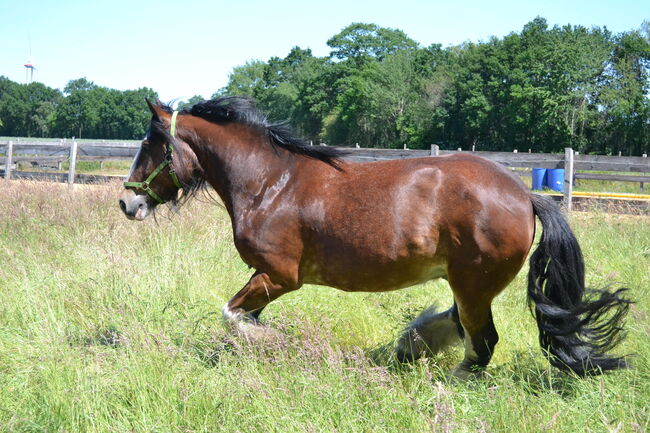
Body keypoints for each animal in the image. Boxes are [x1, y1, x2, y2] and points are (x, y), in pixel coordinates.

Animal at [117, 96, 628, 376]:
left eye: (149, 144)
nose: (127, 203)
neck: (269, 183)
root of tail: (525, 195)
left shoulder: (278, 276)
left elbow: (232, 316)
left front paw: (273, 345)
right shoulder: (266, 278)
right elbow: (240, 318)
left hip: (474, 283)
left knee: (482, 343)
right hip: (466, 283)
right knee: (462, 328)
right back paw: (410, 348)